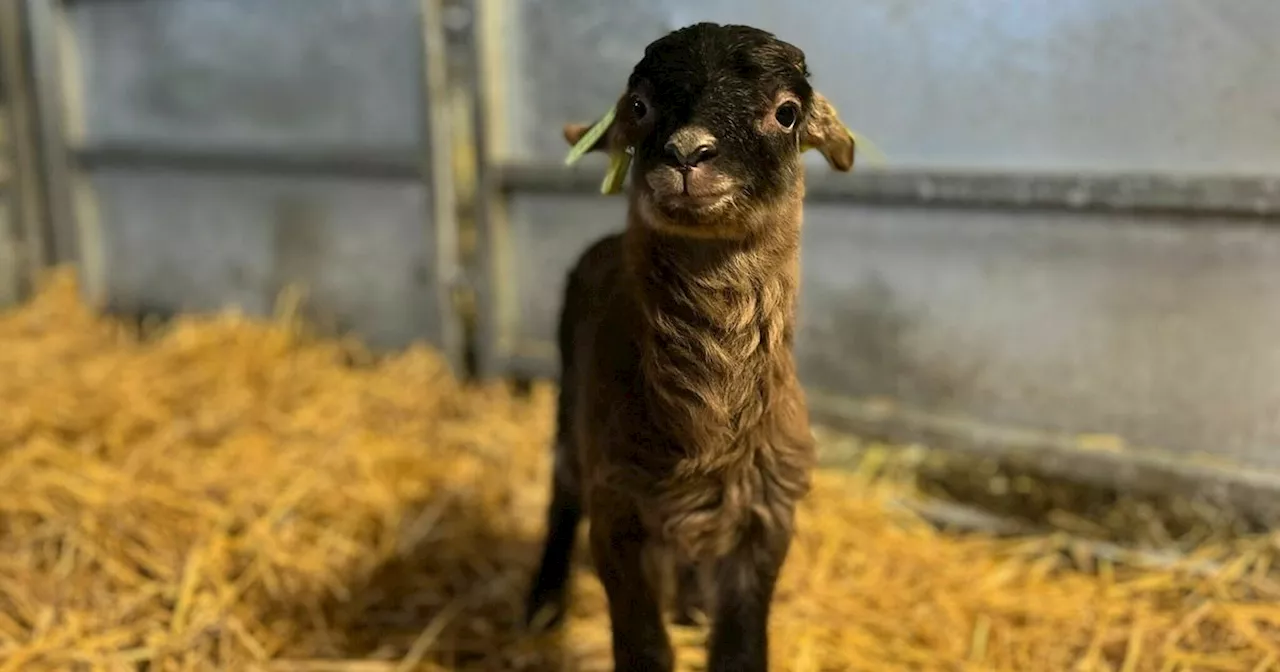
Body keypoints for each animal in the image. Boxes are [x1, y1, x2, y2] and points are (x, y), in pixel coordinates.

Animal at [519, 20, 860, 670]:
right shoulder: (618, 510)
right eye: (638, 106)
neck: (707, 430)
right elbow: (644, 645)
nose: (687, 154)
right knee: (560, 493)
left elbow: (740, 646)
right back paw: (543, 606)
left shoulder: (765, 521)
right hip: (572, 410)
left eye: (786, 112)